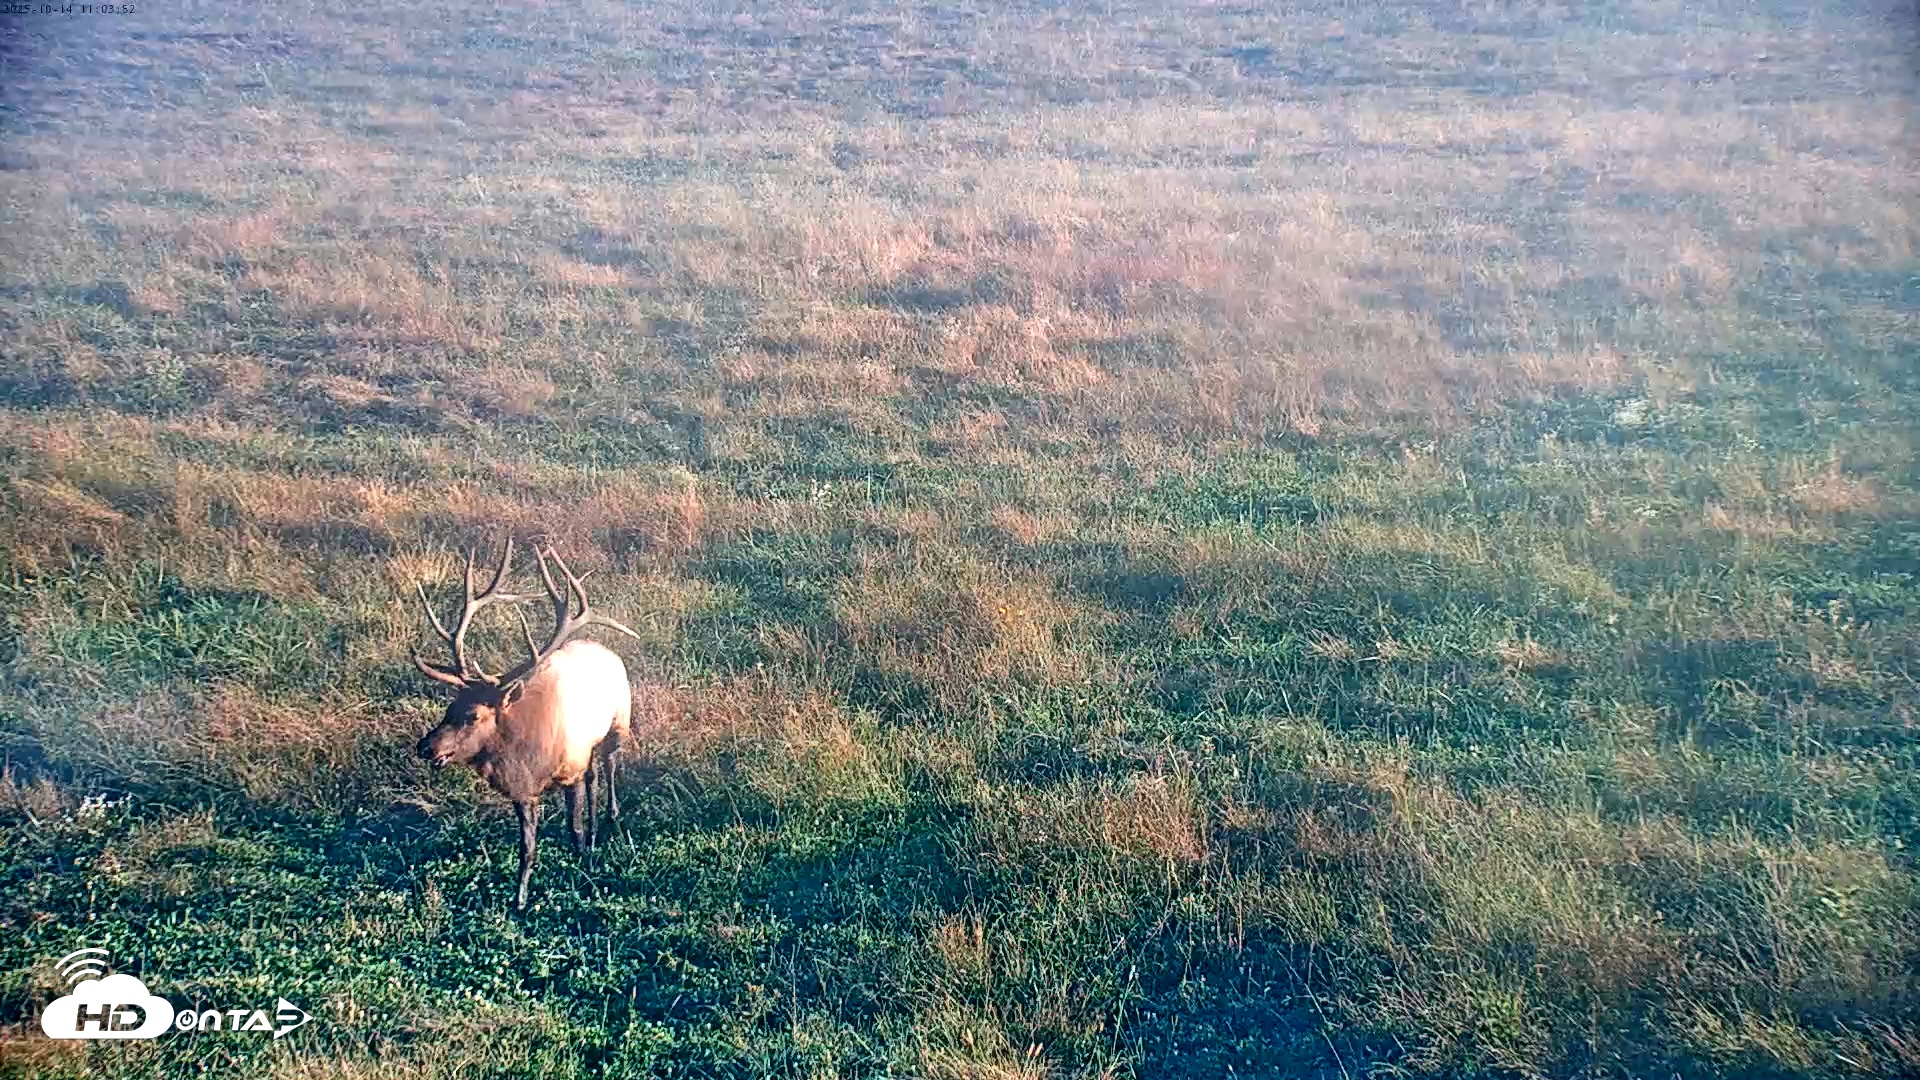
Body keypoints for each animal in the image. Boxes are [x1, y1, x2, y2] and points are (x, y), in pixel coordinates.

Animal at [410, 538, 640, 911]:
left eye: (473, 715)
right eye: (448, 707)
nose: (425, 747)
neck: (527, 755)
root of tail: (602, 646)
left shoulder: (569, 769)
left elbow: (572, 828)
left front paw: (583, 865)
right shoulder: (524, 791)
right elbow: (527, 848)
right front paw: (519, 898)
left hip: (618, 723)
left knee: (608, 766)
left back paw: (611, 818)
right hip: (589, 746)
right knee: (594, 777)